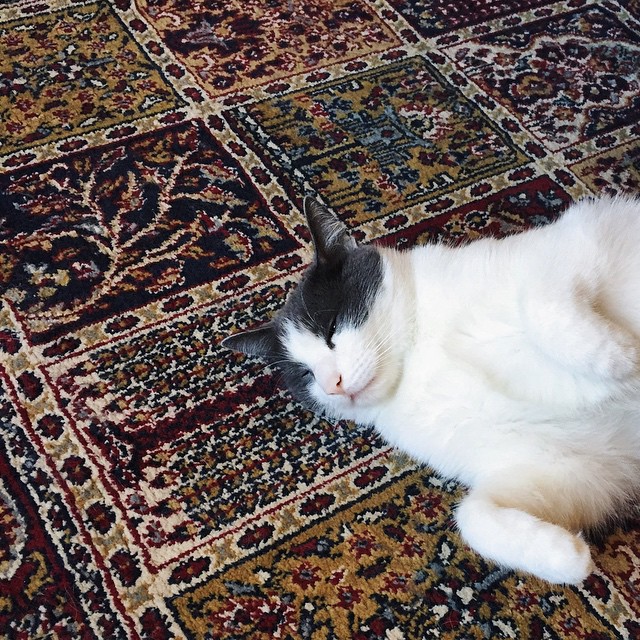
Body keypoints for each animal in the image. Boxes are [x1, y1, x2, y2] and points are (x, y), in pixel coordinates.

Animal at [222, 195, 640, 584]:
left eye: (331, 328)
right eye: (305, 374)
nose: (332, 385)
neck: (417, 362)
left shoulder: (575, 241)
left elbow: (541, 304)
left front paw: (621, 357)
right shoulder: (578, 471)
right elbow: (472, 517)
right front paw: (565, 558)